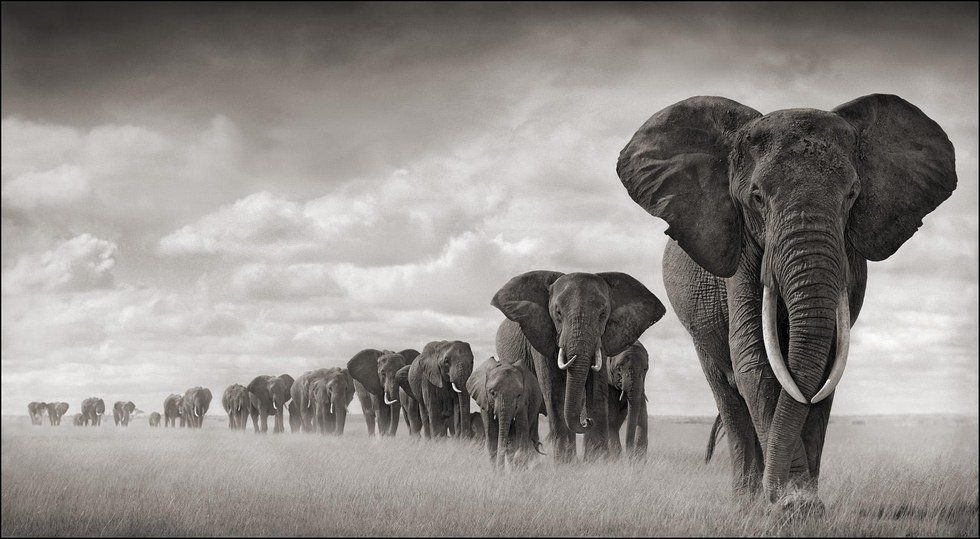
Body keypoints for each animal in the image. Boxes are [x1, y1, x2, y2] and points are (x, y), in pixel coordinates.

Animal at [492, 271, 665, 462]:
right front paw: (565, 463)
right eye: (558, 312)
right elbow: (554, 391)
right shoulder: (540, 335)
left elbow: (597, 390)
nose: (587, 421)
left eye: (603, 314)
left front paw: (597, 461)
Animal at [617, 94, 956, 508]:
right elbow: (754, 360)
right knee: (727, 393)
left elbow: (826, 365)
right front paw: (790, 507)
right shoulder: (742, 251)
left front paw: (801, 503)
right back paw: (746, 500)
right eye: (757, 197)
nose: (782, 496)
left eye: (852, 195)